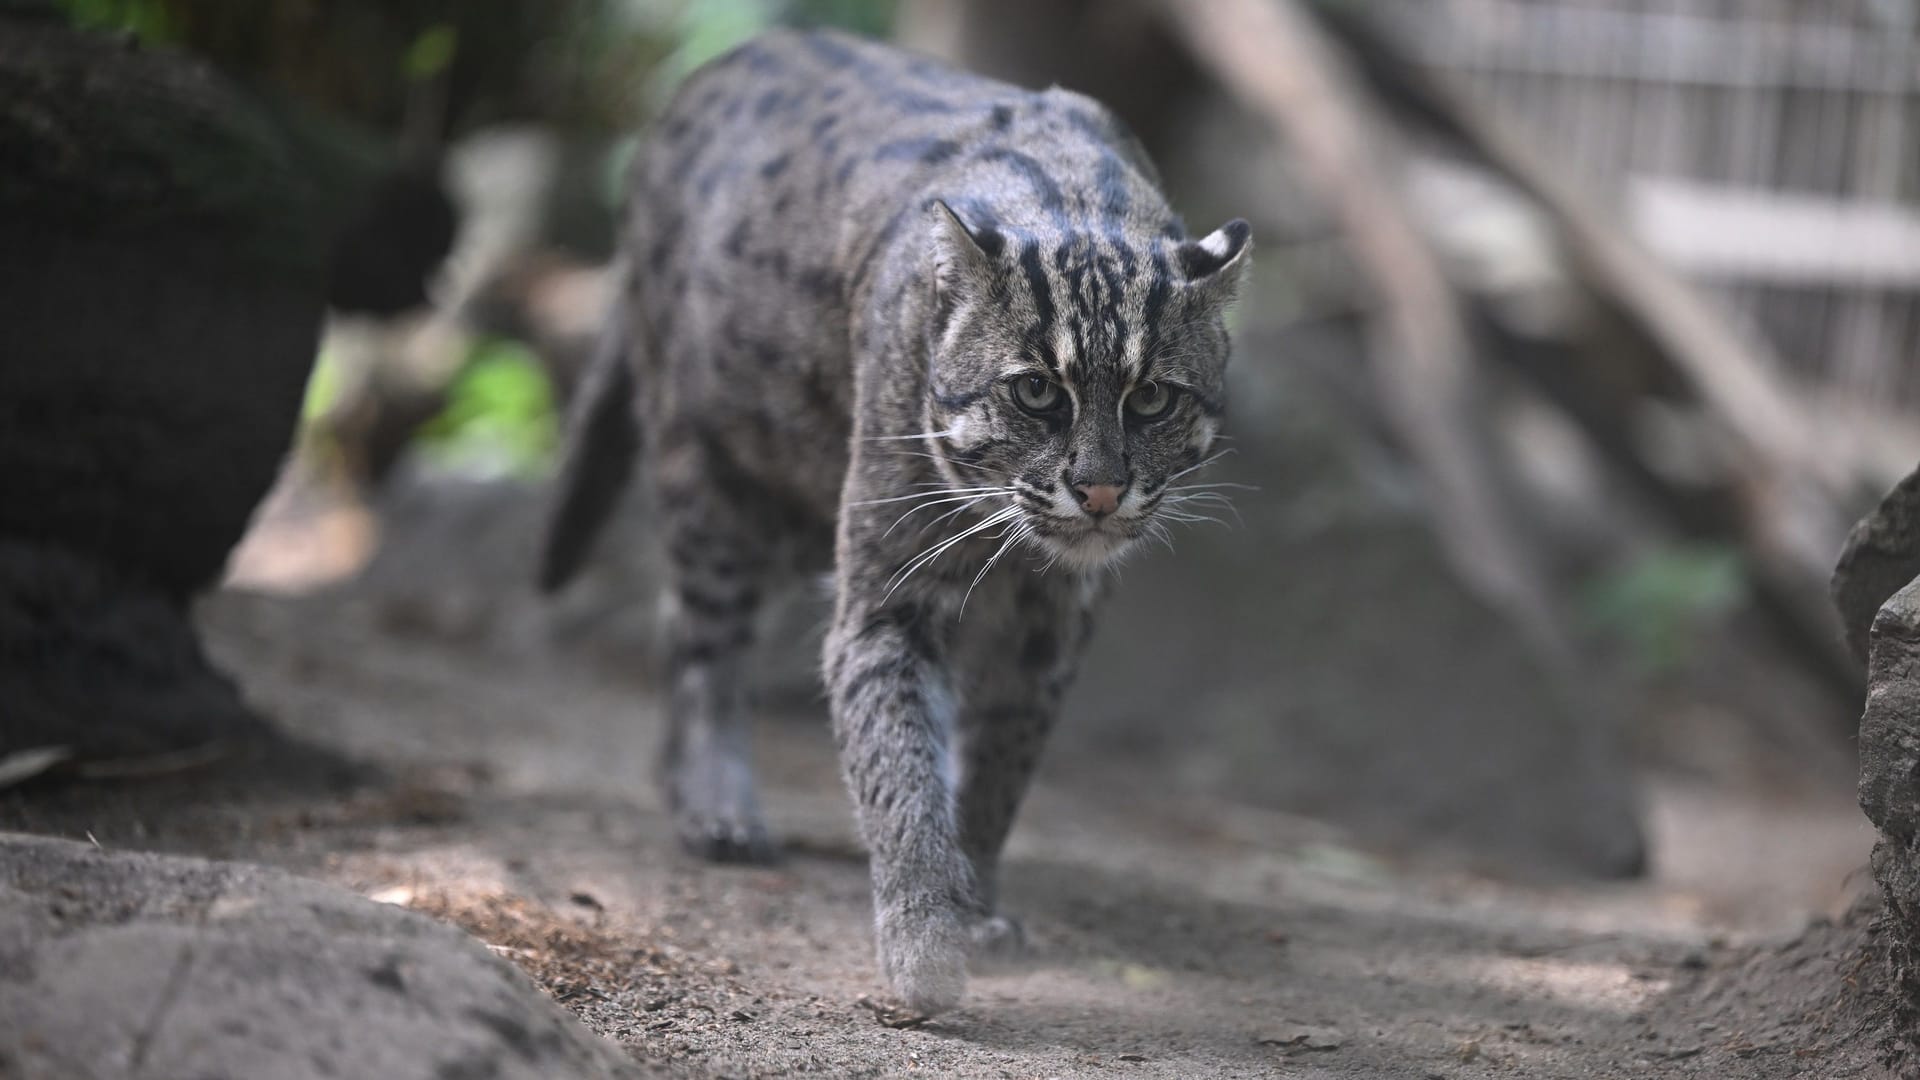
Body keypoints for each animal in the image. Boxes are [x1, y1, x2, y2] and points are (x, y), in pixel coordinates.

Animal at [545, 29, 1259, 1014]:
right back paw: (717, 808)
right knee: (703, 640)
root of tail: (711, 75)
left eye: (1152, 398)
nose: (1100, 491)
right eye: (1036, 392)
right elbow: (900, 768)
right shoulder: (890, 599)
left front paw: (976, 904)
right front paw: (926, 940)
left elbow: (997, 766)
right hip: (718, 477)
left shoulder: (1049, 627)